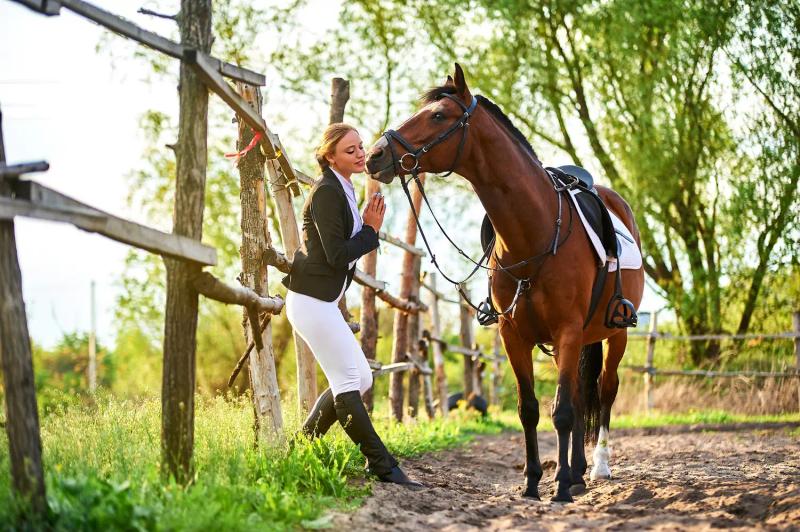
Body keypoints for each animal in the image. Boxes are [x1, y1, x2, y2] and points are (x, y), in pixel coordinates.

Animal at [365, 64, 644, 502]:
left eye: (439, 115)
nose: (375, 154)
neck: (536, 230)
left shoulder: (567, 330)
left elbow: (563, 411)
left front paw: (560, 488)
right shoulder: (514, 334)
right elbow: (531, 408)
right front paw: (534, 483)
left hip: (616, 334)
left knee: (605, 391)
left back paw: (597, 468)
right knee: (580, 394)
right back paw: (578, 472)